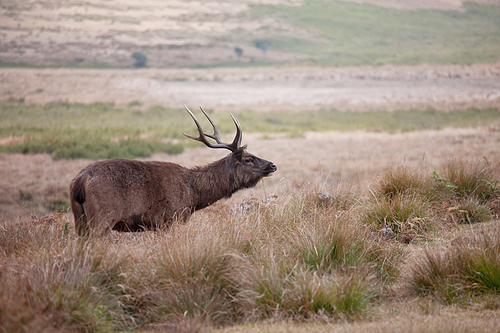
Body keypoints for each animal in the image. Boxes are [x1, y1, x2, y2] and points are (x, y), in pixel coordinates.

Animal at [69, 105, 278, 235]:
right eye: (249, 159)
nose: (273, 165)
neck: (194, 195)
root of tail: (80, 180)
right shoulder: (170, 218)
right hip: (102, 217)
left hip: (79, 219)